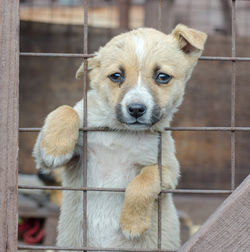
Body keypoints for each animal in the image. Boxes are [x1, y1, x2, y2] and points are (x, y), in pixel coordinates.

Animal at [33, 24, 206, 251]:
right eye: (116, 76)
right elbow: (66, 109)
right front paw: (55, 148)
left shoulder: (168, 169)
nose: (136, 109)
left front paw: (132, 223)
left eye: (163, 77)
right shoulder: (65, 158)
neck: (122, 134)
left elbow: (144, 180)